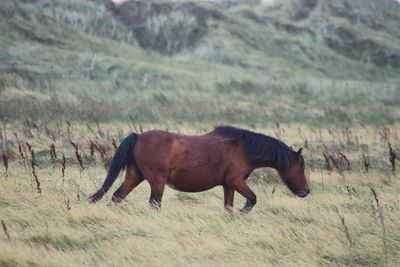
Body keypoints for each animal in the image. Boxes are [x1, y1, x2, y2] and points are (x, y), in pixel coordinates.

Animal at [90, 126, 310, 214]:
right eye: (300, 168)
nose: (306, 191)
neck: (242, 149)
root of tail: (138, 136)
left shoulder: (228, 185)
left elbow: (228, 206)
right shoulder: (236, 181)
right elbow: (252, 199)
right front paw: (242, 213)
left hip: (135, 176)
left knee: (117, 196)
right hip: (157, 182)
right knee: (154, 204)